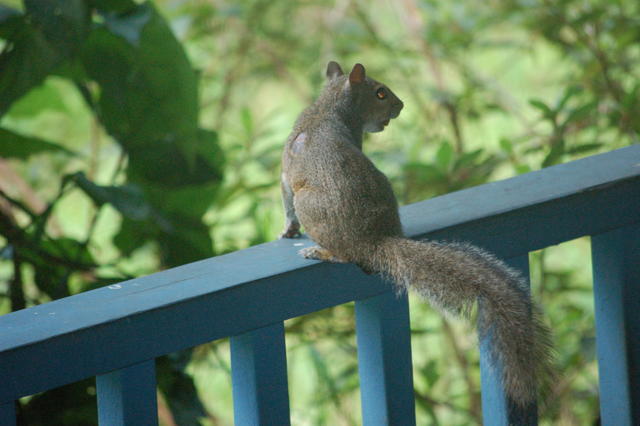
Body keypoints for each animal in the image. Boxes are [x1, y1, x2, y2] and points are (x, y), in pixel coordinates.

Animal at [279, 61, 554, 407]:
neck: (329, 106)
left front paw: (288, 231)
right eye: (380, 93)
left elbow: (287, 203)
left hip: (311, 208)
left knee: (343, 254)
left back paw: (320, 251)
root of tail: (373, 241)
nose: (400, 106)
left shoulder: (287, 175)